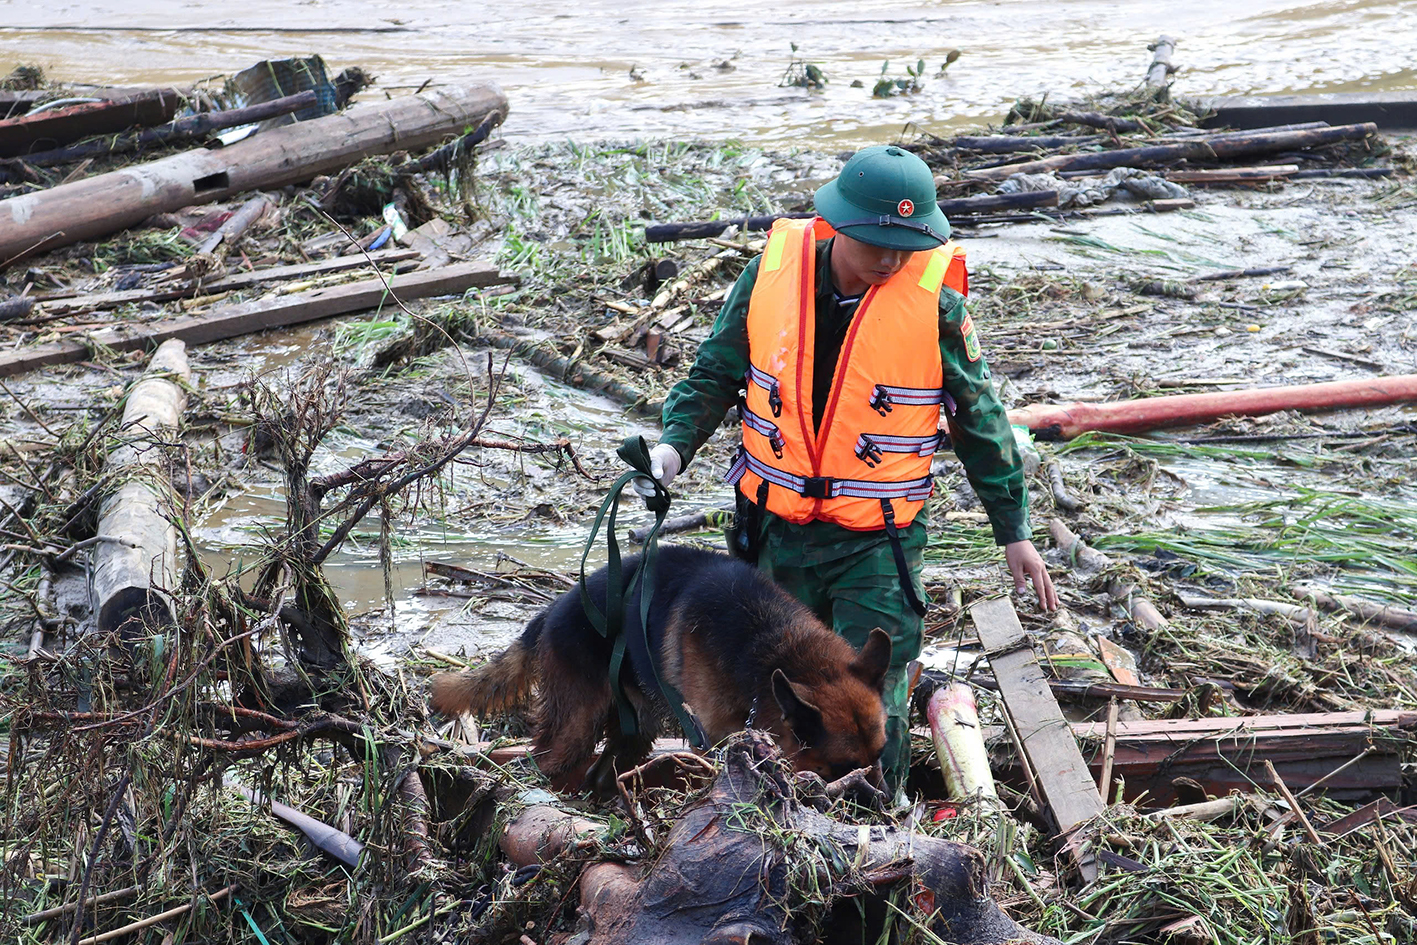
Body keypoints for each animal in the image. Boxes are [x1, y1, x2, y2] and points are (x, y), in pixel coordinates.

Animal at [427, 544, 884, 793]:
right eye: (842, 769)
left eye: (880, 757)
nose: (880, 804)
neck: (771, 646)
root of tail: (551, 611)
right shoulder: (710, 738)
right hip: (578, 723)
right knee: (548, 760)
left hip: (635, 728)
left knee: (604, 771)